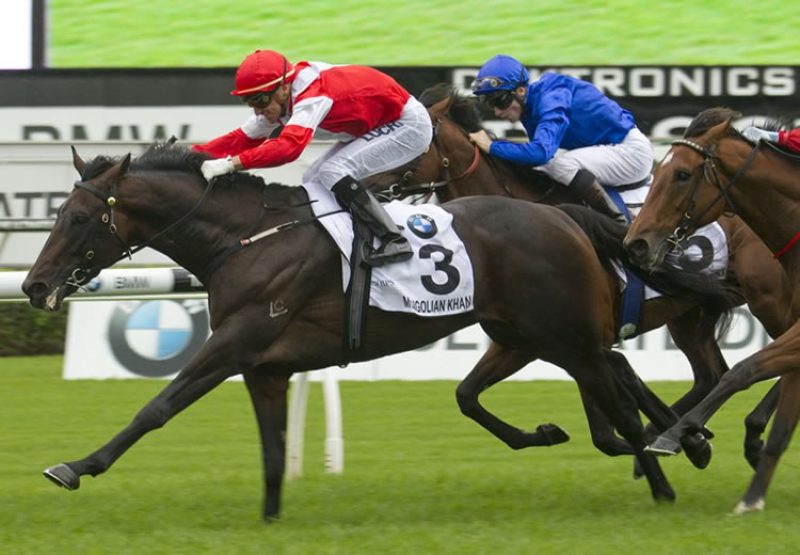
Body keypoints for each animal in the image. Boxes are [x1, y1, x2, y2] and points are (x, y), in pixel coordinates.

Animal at [21, 141, 736, 520]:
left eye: (79, 217)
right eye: (57, 213)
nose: (32, 285)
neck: (245, 239)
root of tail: (563, 217)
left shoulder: (233, 343)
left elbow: (157, 407)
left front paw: (76, 466)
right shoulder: (265, 366)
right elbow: (273, 449)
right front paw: (270, 518)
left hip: (568, 337)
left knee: (622, 398)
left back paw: (668, 473)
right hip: (526, 334)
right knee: (598, 390)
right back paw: (665, 444)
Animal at [366, 87, 792, 470]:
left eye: (403, 139)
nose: (368, 183)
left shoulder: (560, 336)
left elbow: (605, 427)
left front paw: (679, 441)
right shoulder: (529, 338)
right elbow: (467, 394)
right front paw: (679, 440)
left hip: (768, 298)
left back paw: (746, 435)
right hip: (688, 315)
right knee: (710, 374)